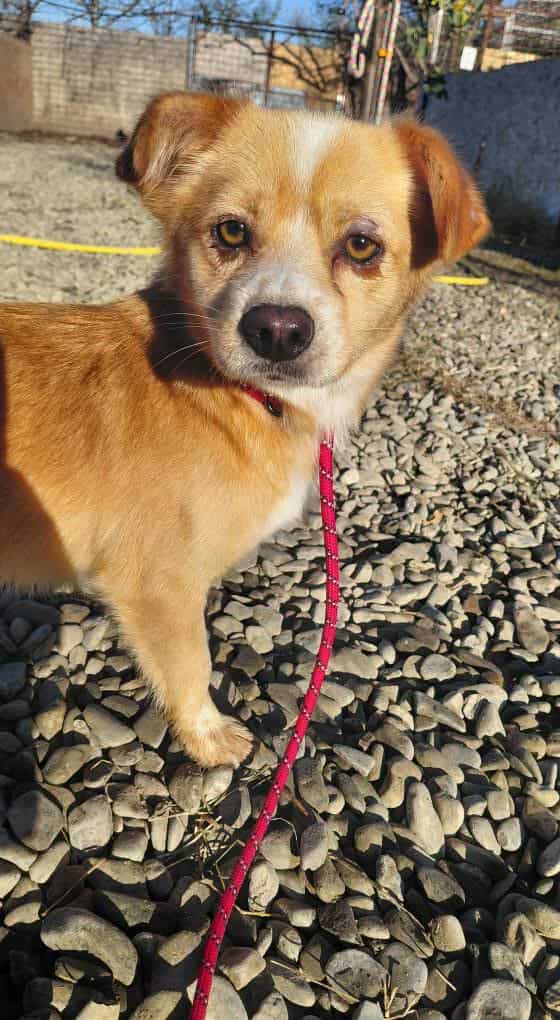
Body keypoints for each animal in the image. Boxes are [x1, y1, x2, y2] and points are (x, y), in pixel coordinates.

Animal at [0, 93, 489, 767]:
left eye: (362, 245)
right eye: (231, 231)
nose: (277, 330)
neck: (245, 402)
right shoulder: (158, 585)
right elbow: (191, 666)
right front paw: (207, 739)